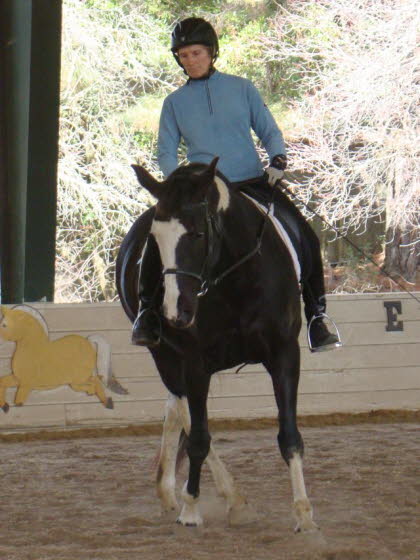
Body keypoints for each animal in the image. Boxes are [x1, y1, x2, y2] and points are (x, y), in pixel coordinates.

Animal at [115, 159, 318, 532]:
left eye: (197, 233)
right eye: (156, 239)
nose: (175, 311)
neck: (235, 278)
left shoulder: (284, 354)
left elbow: (289, 436)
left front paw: (304, 515)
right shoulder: (194, 363)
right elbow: (198, 438)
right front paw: (191, 509)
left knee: (174, 408)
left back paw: (170, 490)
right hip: (164, 356)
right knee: (185, 414)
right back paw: (227, 499)